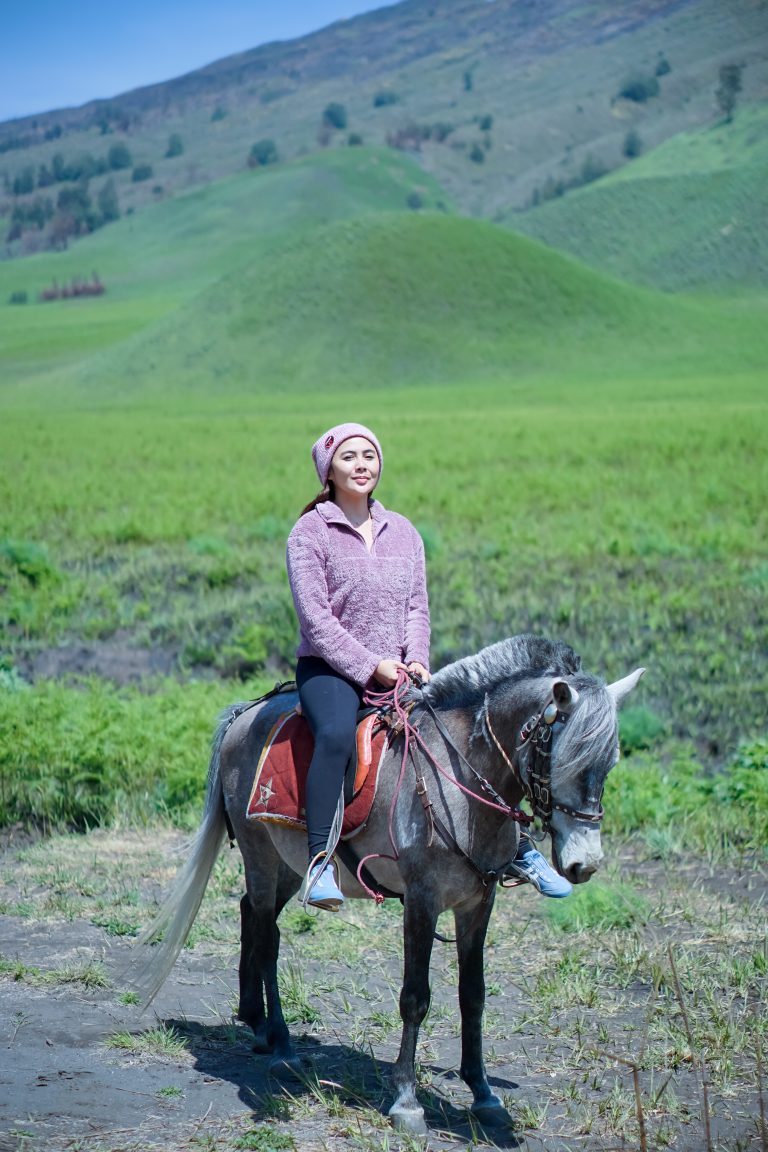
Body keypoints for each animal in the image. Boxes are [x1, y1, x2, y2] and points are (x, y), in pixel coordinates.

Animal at [130, 635, 644, 1138]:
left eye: (610, 763)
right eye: (566, 760)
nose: (584, 863)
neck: (457, 780)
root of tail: (244, 715)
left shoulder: (478, 903)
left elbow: (473, 995)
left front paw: (483, 1095)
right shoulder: (421, 901)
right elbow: (415, 999)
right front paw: (406, 1100)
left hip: (288, 864)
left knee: (250, 915)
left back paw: (257, 1025)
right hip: (260, 854)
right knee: (267, 936)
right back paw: (282, 1045)